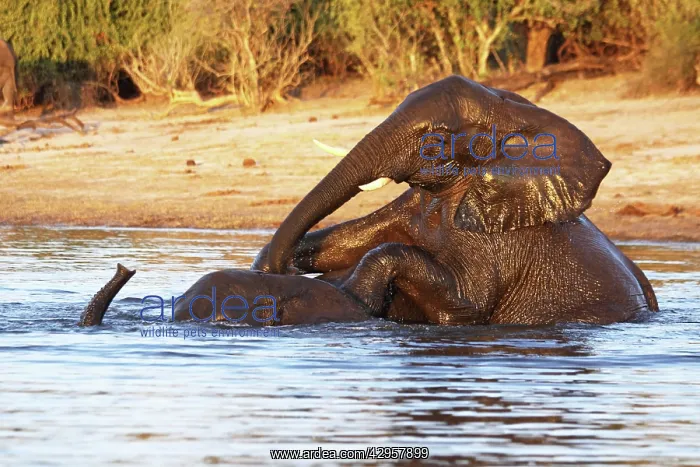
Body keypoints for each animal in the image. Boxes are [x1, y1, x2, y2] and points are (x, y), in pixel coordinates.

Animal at [250, 75, 659, 325]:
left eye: (438, 136)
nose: (283, 268)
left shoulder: (498, 238)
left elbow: (467, 303)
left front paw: (355, 298)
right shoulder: (415, 204)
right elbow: (347, 241)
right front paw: (271, 264)